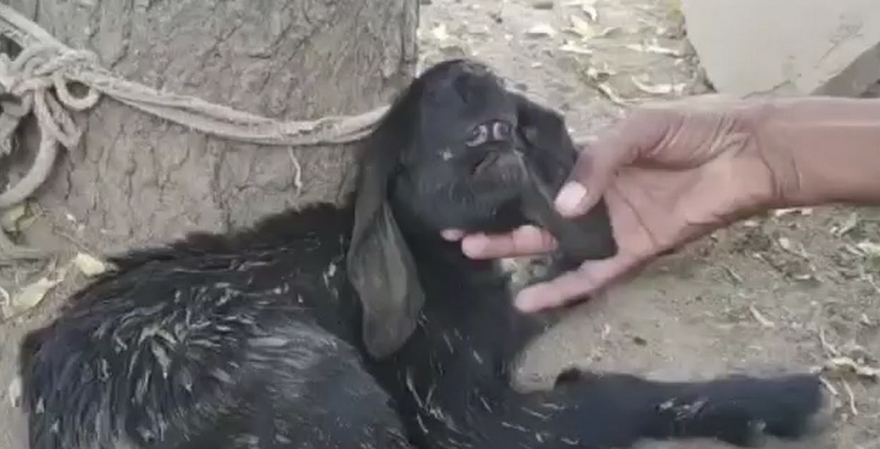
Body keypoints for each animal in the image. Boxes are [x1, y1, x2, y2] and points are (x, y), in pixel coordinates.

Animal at [18, 59, 830, 449]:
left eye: (517, 124)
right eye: (426, 121)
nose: (465, 71)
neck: (436, 264)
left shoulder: (498, 313)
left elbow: (553, 279)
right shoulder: (464, 418)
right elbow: (615, 396)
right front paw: (781, 398)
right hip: (325, 379)